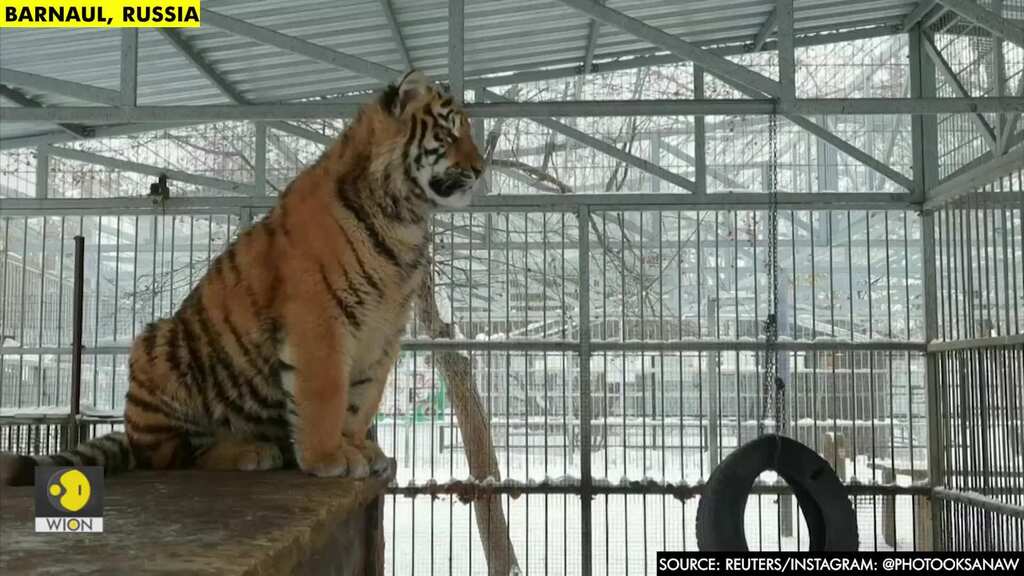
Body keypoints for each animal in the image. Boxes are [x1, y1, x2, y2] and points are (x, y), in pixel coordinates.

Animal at [0, 70, 483, 485]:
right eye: (449, 133)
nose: (481, 170)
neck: (404, 217)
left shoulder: (384, 331)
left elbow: (363, 400)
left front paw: (359, 449)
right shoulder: (320, 318)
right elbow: (326, 393)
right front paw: (329, 457)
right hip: (157, 347)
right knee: (175, 455)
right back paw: (250, 451)